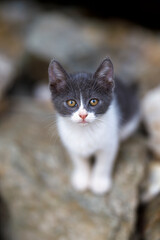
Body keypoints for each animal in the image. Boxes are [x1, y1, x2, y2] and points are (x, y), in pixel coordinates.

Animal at [47, 58, 140, 195]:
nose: (83, 115)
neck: (84, 131)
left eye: (93, 101)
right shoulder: (70, 142)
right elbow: (79, 162)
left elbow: (103, 164)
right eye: (71, 102)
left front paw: (99, 183)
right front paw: (82, 179)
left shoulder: (109, 144)